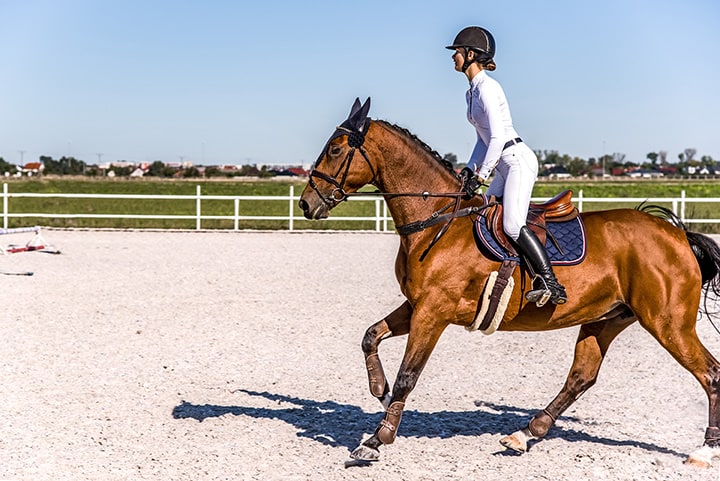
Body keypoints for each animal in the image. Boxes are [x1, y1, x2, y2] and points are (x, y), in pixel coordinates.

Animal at [296, 96, 720, 464]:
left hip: (668, 324)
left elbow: (408, 375)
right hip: (606, 319)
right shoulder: (416, 305)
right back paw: (526, 433)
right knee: (581, 377)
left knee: (710, 373)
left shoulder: (433, 312)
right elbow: (371, 336)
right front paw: (379, 392)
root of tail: (678, 235)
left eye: (335, 150)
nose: (306, 204)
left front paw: (377, 439)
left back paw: (704, 450)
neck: (436, 220)